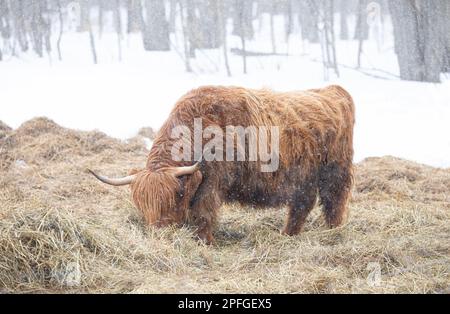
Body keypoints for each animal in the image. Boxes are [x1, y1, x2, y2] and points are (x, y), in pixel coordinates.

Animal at [89, 84, 356, 244]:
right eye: (142, 203)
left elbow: (203, 214)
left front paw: (205, 242)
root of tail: (333, 90)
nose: (160, 234)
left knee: (333, 203)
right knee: (303, 203)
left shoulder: (212, 184)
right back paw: (288, 235)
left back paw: (331, 233)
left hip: (335, 171)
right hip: (304, 178)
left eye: (175, 196)